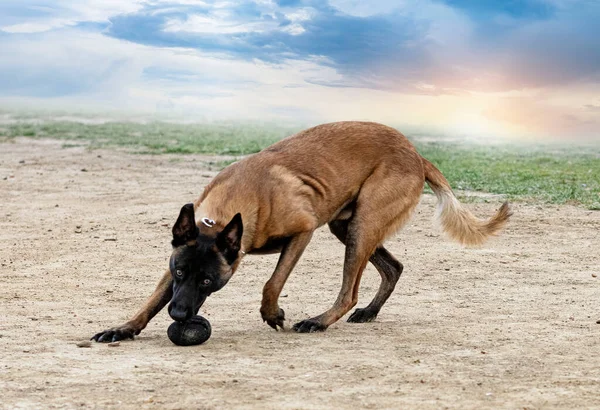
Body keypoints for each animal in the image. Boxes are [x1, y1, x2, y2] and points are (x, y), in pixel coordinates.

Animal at [92, 121, 510, 342]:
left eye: (209, 282)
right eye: (180, 273)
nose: (179, 315)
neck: (229, 209)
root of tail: (418, 155)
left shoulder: (303, 232)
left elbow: (272, 283)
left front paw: (272, 314)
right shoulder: (179, 255)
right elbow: (151, 299)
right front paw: (124, 328)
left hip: (360, 226)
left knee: (349, 292)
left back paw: (320, 321)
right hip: (348, 225)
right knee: (394, 268)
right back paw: (370, 312)